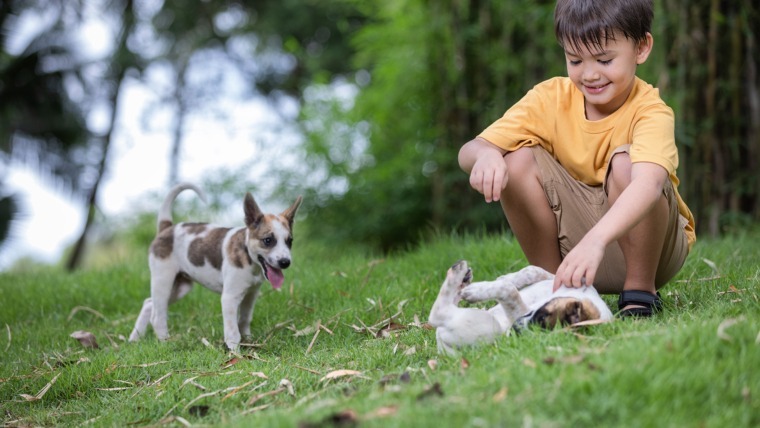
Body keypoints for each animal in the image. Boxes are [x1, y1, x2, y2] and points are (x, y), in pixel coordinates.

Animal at [129, 182, 302, 350]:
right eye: (268, 240)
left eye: (290, 241)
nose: (285, 262)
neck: (248, 257)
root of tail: (167, 228)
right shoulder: (229, 298)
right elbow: (233, 332)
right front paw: (236, 354)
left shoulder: (250, 295)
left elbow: (244, 320)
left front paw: (249, 342)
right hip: (163, 280)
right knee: (157, 316)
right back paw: (165, 343)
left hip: (180, 287)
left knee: (148, 304)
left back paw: (134, 339)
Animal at [428, 260, 612, 354]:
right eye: (541, 317)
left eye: (541, 322)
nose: (514, 329)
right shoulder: (563, 278)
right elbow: (534, 270)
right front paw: (506, 277)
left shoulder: (517, 310)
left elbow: (509, 290)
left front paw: (477, 290)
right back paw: (463, 278)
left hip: (481, 324)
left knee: (438, 313)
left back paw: (457, 276)